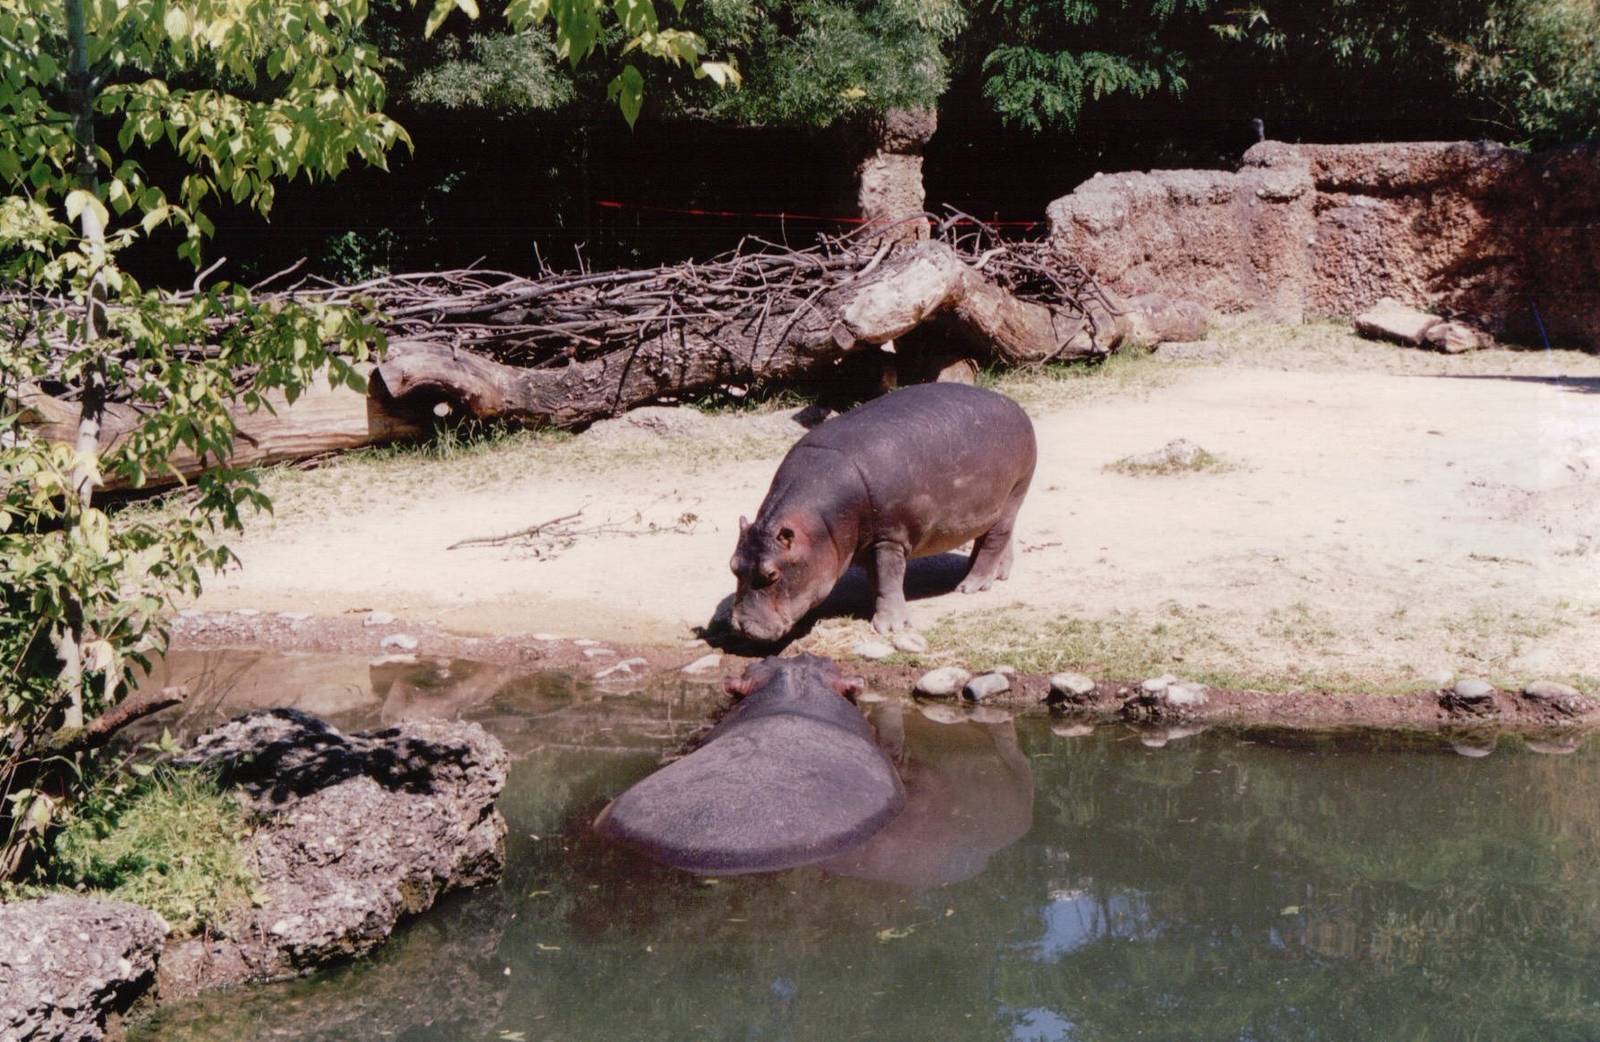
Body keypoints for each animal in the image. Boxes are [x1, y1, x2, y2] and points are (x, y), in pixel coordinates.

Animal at [729, 382, 1036, 642]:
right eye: (733, 566)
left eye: (772, 574)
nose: (741, 627)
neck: (818, 527)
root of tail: (1014, 405)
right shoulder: (870, 542)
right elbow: (879, 579)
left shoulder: (889, 538)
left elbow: (889, 578)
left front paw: (890, 627)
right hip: (998, 503)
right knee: (995, 536)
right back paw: (998, 574)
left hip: (1016, 491)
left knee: (995, 539)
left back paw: (972, 584)